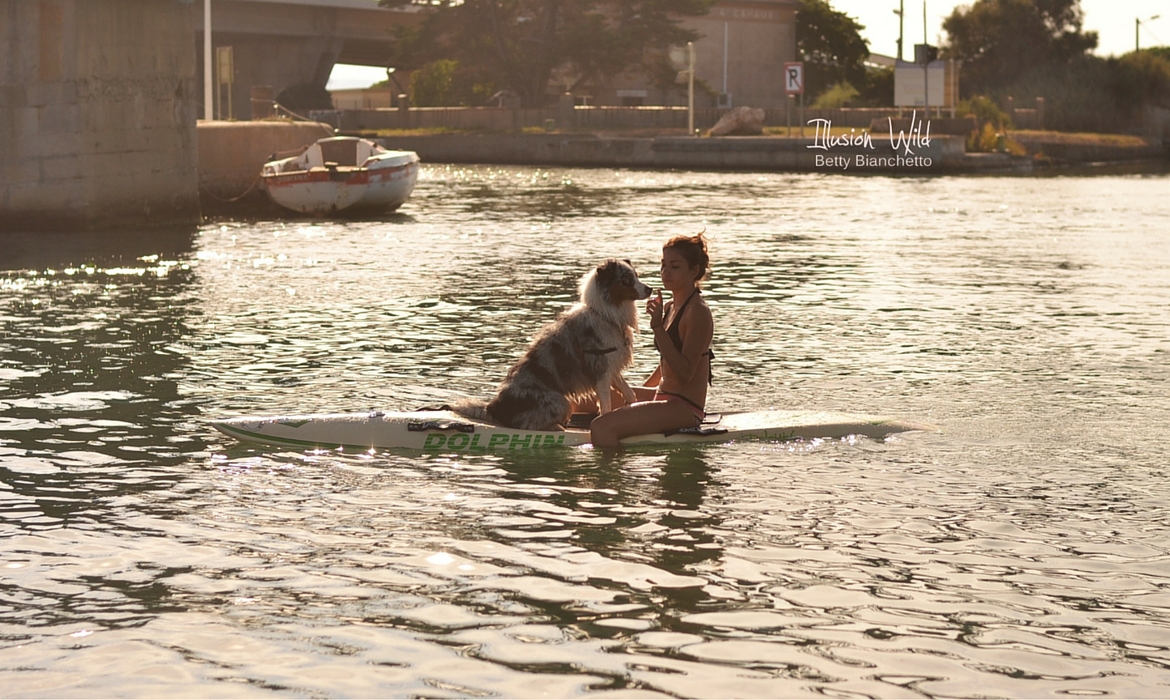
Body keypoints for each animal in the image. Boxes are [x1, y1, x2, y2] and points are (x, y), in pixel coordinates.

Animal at [456, 258, 655, 430]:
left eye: (636, 275)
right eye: (627, 280)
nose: (650, 289)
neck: (605, 314)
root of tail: (493, 407)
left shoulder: (611, 365)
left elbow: (628, 391)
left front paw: (636, 405)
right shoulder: (601, 370)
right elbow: (606, 407)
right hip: (561, 402)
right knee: (527, 424)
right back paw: (556, 427)